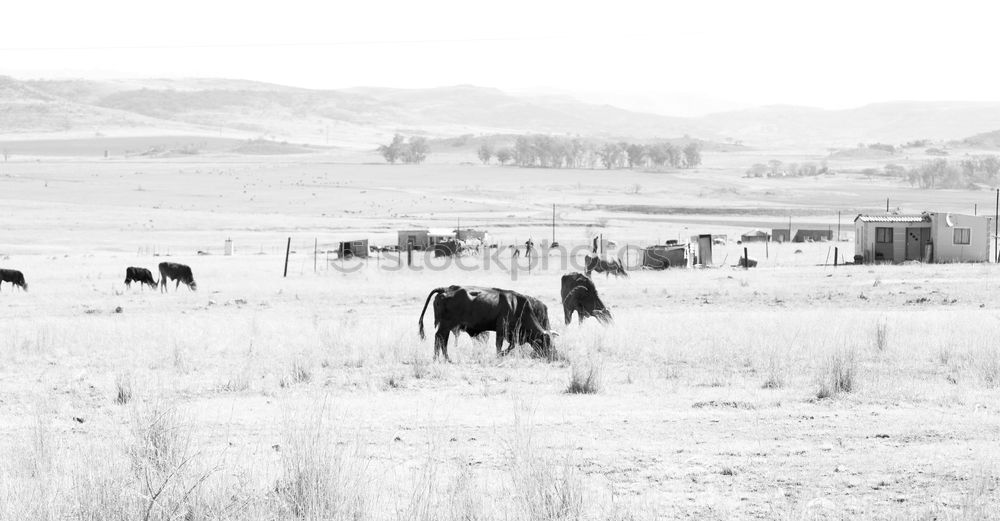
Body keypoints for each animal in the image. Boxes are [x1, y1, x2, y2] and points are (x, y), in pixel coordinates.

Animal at [414, 284, 556, 362]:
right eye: (546, 342)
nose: (553, 355)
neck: (517, 306)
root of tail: (445, 289)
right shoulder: (501, 330)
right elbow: (499, 346)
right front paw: (499, 356)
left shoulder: (512, 335)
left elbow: (511, 345)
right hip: (445, 325)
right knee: (440, 338)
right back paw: (439, 358)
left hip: (447, 327)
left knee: (442, 340)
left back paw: (443, 359)